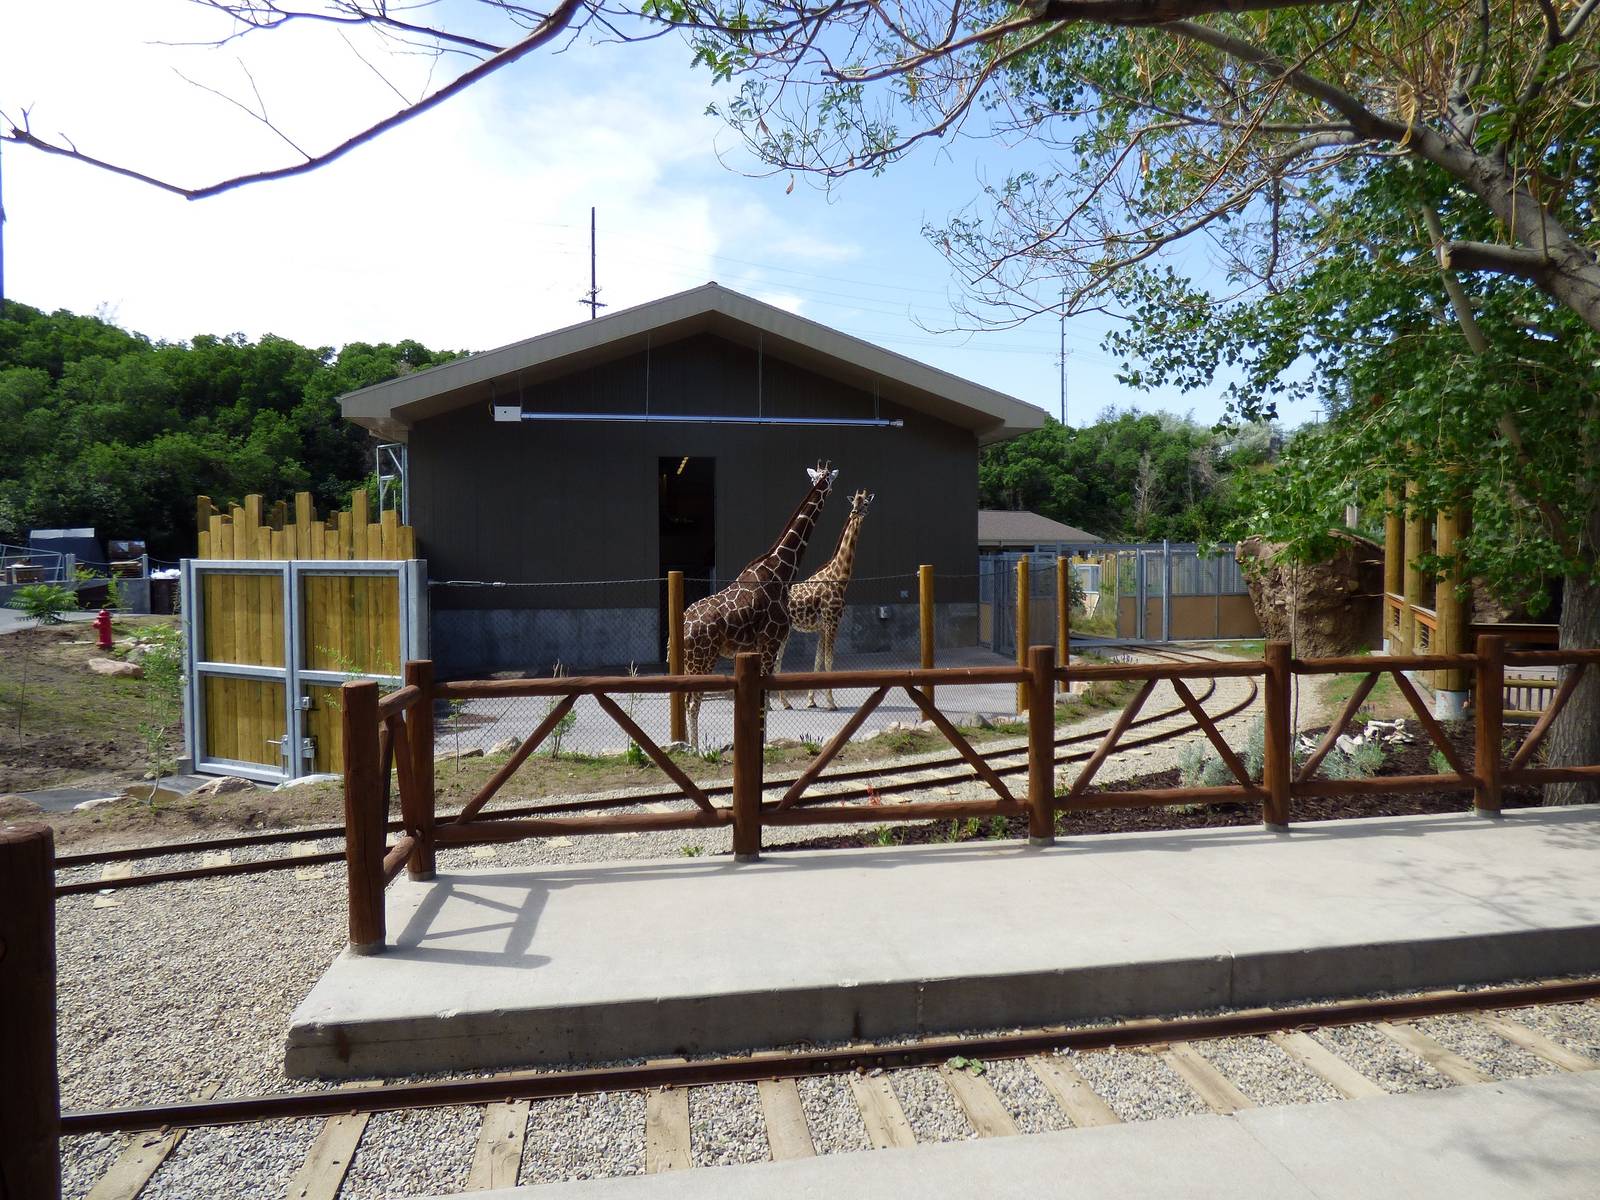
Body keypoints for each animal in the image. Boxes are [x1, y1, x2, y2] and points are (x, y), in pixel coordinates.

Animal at [682, 463, 838, 749]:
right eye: (826, 479)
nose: (829, 489)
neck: (782, 570)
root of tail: (683, 624)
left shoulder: (759, 646)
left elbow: (763, 698)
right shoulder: (770, 642)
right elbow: (763, 699)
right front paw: (763, 745)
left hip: (692, 661)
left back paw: (687, 746)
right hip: (702, 658)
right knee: (692, 701)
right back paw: (695, 750)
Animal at [778, 489, 874, 710]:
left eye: (865, 503)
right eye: (855, 503)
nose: (856, 512)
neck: (839, 577)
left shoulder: (823, 627)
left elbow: (818, 661)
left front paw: (811, 701)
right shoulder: (832, 622)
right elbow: (829, 661)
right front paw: (831, 703)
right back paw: (783, 703)